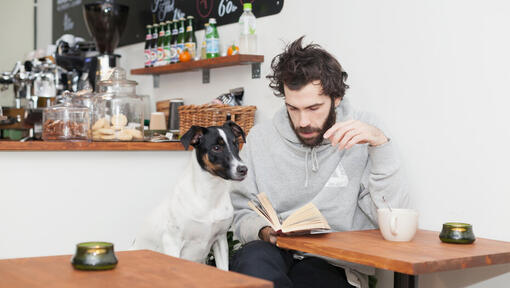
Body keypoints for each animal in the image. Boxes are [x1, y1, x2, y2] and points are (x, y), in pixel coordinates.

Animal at [133, 121, 247, 270]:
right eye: (216, 148)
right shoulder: (172, 242)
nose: (243, 169)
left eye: (235, 144)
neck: (209, 196)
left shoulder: (221, 240)